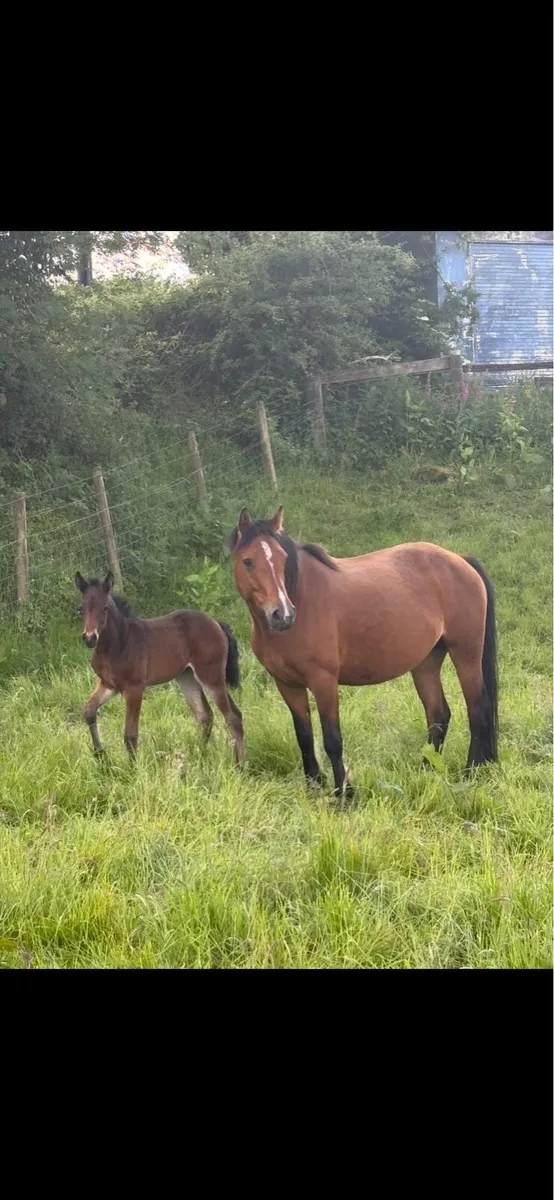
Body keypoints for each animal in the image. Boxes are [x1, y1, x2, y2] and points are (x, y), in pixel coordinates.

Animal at [75, 571, 244, 762]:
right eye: (80, 609)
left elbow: (130, 734)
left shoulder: (134, 688)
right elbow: (89, 711)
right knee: (205, 715)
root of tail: (216, 623)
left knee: (233, 717)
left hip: (211, 676)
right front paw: (100, 755)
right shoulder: (109, 685)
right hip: (187, 677)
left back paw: (239, 764)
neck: (118, 643)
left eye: (105, 608)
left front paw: (133, 768)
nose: (90, 638)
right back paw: (200, 757)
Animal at [228, 506, 498, 798]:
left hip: (466, 653)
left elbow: (332, 739)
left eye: (282, 558)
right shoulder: (287, 684)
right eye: (248, 561)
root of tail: (460, 560)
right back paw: (426, 768)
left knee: (477, 710)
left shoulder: (323, 682)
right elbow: (304, 736)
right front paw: (314, 785)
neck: (302, 599)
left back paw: (471, 770)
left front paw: (344, 794)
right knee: (438, 715)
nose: (283, 614)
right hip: (426, 662)